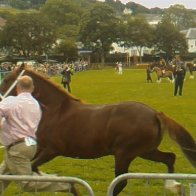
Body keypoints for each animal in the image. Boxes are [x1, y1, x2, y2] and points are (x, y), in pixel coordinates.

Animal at [0, 66, 196, 196]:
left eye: (6, 80)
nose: (1, 99)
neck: (55, 111)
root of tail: (155, 113)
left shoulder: (52, 150)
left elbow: (33, 169)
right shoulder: (40, 148)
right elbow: (31, 168)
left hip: (124, 154)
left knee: (121, 182)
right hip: (146, 151)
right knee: (169, 158)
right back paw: (173, 185)